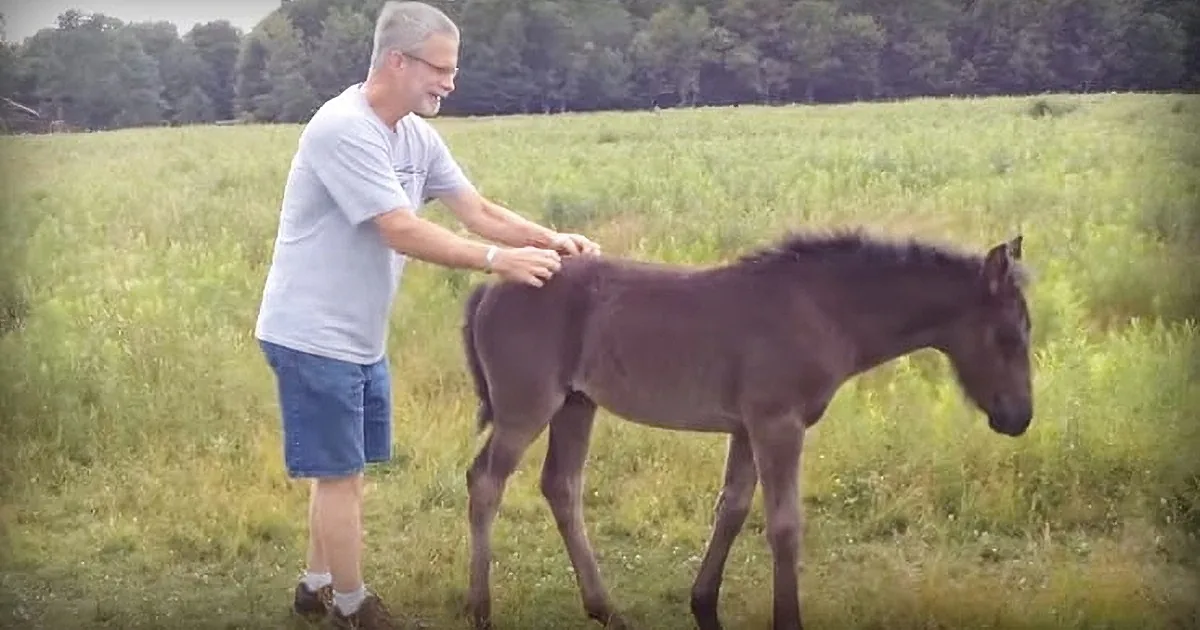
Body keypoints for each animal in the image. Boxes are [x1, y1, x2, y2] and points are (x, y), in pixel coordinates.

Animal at [459, 228, 1034, 630]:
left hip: (577, 406)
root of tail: (491, 287)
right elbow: (784, 526)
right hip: (526, 407)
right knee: (485, 481)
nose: (1019, 418)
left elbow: (732, 508)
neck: (821, 310)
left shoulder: (744, 428)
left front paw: (703, 605)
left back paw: (606, 609)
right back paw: (481, 608)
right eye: (1008, 336)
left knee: (562, 486)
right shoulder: (777, 423)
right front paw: (788, 619)